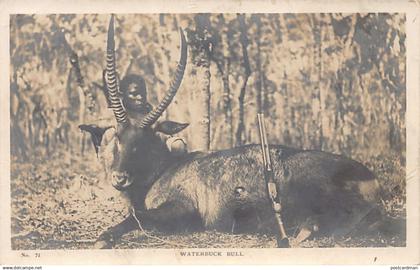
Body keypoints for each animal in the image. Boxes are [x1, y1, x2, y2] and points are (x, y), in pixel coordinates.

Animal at [81, 16, 394, 249]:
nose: (119, 178)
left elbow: (139, 218)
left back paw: (303, 230)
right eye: (117, 137)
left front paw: (103, 238)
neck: (165, 168)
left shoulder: (183, 208)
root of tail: (368, 176)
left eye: (145, 141)